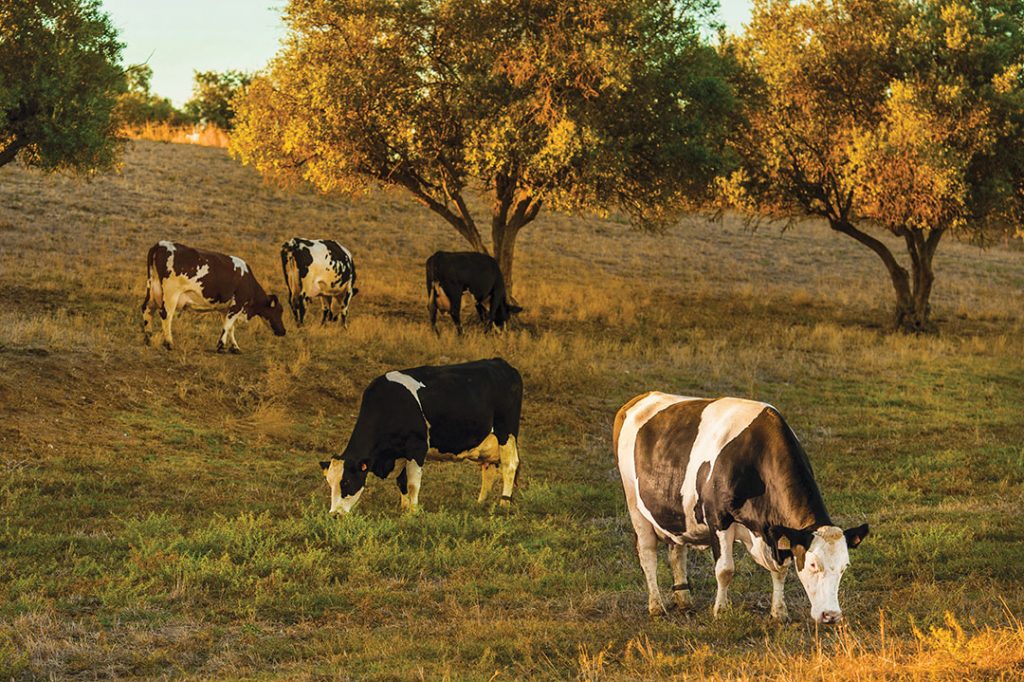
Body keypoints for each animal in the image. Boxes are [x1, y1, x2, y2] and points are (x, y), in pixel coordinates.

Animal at [139, 238, 284, 350]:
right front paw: (221, 345)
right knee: (166, 314)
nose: (283, 331)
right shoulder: (238, 304)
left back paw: (148, 339)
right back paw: (169, 343)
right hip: (171, 294)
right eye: (279, 311)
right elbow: (228, 325)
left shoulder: (226, 308)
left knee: (147, 309)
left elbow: (230, 326)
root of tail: (160, 244)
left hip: (152, 288)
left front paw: (234, 347)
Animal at [319, 358, 524, 512]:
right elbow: (401, 481)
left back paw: (504, 503)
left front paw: (414, 511)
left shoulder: (417, 447)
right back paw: (480, 503)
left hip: (506, 432)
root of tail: (501, 363)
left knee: (510, 465)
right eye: (329, 483)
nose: (334, 514)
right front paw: (404, 508)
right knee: (488, 471)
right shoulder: (401, 452)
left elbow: (412, 484)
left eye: (346, 482)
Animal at [610, 391, 868, 622]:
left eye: (844, 567)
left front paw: (779, 612)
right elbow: (725, 570)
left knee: (677, 551)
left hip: (674, 512)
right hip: (635, 506)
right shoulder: (718, 518)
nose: (831, 615)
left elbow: (781, 569)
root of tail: (639, 399)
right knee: (647, 554)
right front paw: (721, 611)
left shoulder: (776, 532)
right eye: (813, 564)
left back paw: (684, 600)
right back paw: (656, 607)